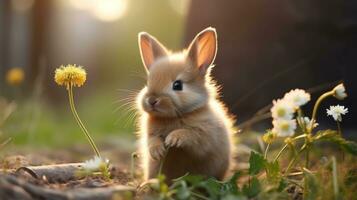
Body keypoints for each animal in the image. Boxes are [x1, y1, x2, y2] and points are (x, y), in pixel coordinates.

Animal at [136, 27, 234, 183]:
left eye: (177, 85)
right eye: (148, 83)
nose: (152, 100)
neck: (174, 117)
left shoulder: (205, 135)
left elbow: (191, 135)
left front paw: (173, 139)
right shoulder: (150, 134)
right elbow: (152, 140)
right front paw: (158, 151)